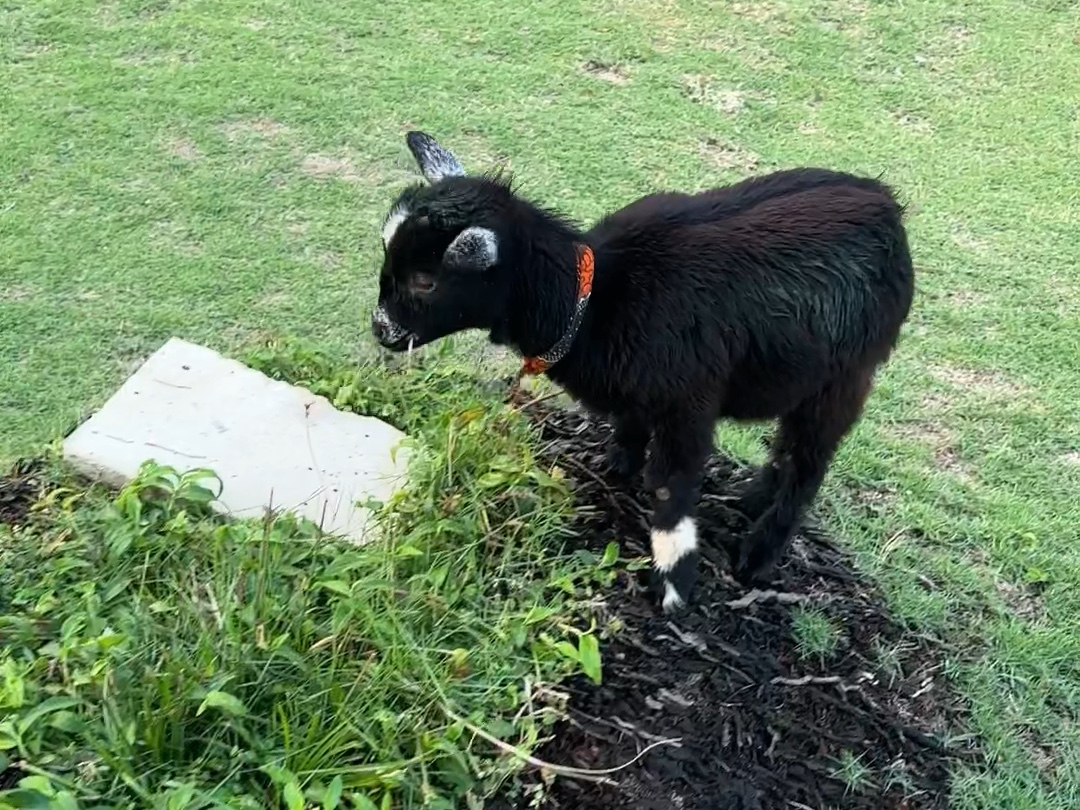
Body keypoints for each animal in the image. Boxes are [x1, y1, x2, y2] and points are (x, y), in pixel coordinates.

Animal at [371, 133, 911, 613]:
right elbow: (630, 425)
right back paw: (752, 498)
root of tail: (887, 204)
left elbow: (673, 487)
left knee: (808, 462)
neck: (594, 301)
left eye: (425, 280)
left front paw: (673, 582)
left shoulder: (688, 402)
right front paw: (618, 466)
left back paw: (759, 555)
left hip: (847, 375)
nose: (381, 330)